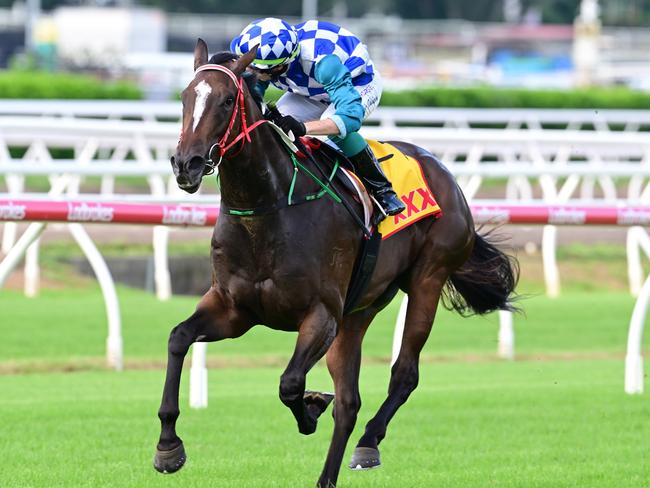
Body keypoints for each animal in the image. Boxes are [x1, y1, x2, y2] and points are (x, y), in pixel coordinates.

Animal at [153, 39, 516, 488]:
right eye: (185, 97)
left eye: (225, 101)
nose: (186, 164)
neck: (267, 207)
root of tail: (443, 172)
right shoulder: (234, 309)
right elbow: (178, 338)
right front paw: (168, 447)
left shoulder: (320, 314)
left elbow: (290, 383)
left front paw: (310, 409)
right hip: (358, 312)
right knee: (349, 402)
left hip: (428, 279)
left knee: (404, 373)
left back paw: (369, 442)